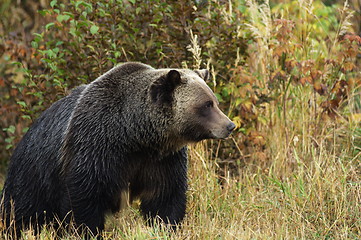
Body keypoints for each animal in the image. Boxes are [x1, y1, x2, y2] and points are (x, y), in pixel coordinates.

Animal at [0, 61, 235, 236]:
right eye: (206, 104)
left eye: (214, 101)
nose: (230, 125)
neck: (135, 135)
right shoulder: (95, 150)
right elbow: (85, 199)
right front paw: (86, 230)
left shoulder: (162, 160)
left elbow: (165, 197)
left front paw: (166, 227)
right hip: (34, 174)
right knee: (20, 212)